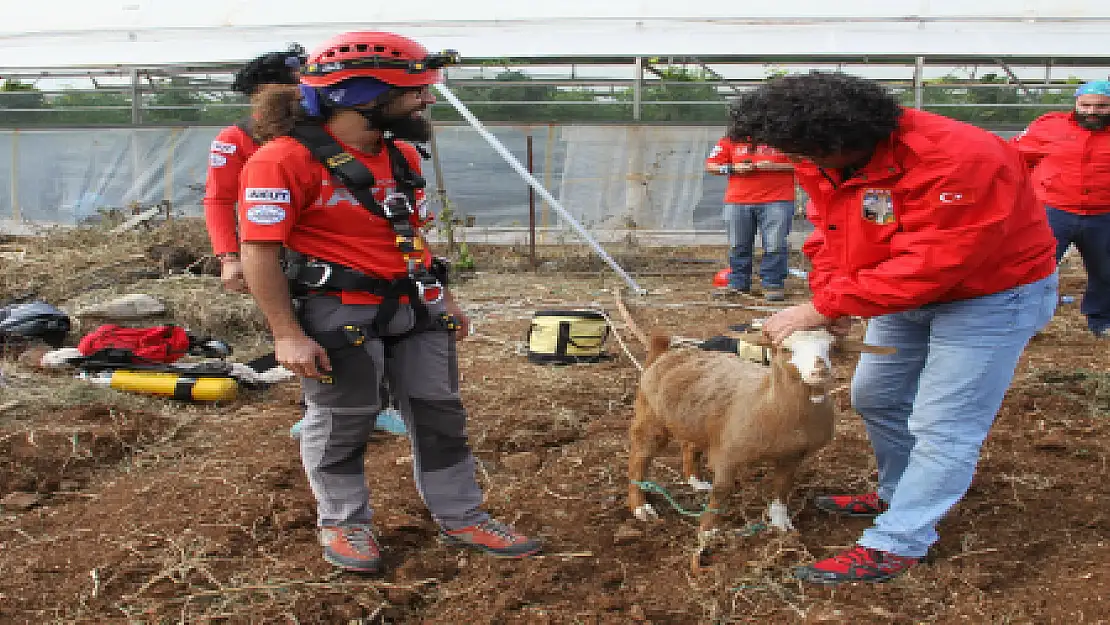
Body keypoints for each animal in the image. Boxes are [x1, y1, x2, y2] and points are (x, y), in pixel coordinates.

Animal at [630, 330, 888, 539]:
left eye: (832, 348)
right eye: (785, 349)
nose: (820, 370)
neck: (768, 401)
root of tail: (667, 354)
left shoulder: (792, 455)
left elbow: (783, 487)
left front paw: (780, 523)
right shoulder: (729, 453)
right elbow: (722, 491)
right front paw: (708, 529)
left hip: (698, 422)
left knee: (690, 446)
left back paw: (695, 480)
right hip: (651, 416)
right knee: (639, 459)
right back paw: (640, 507)